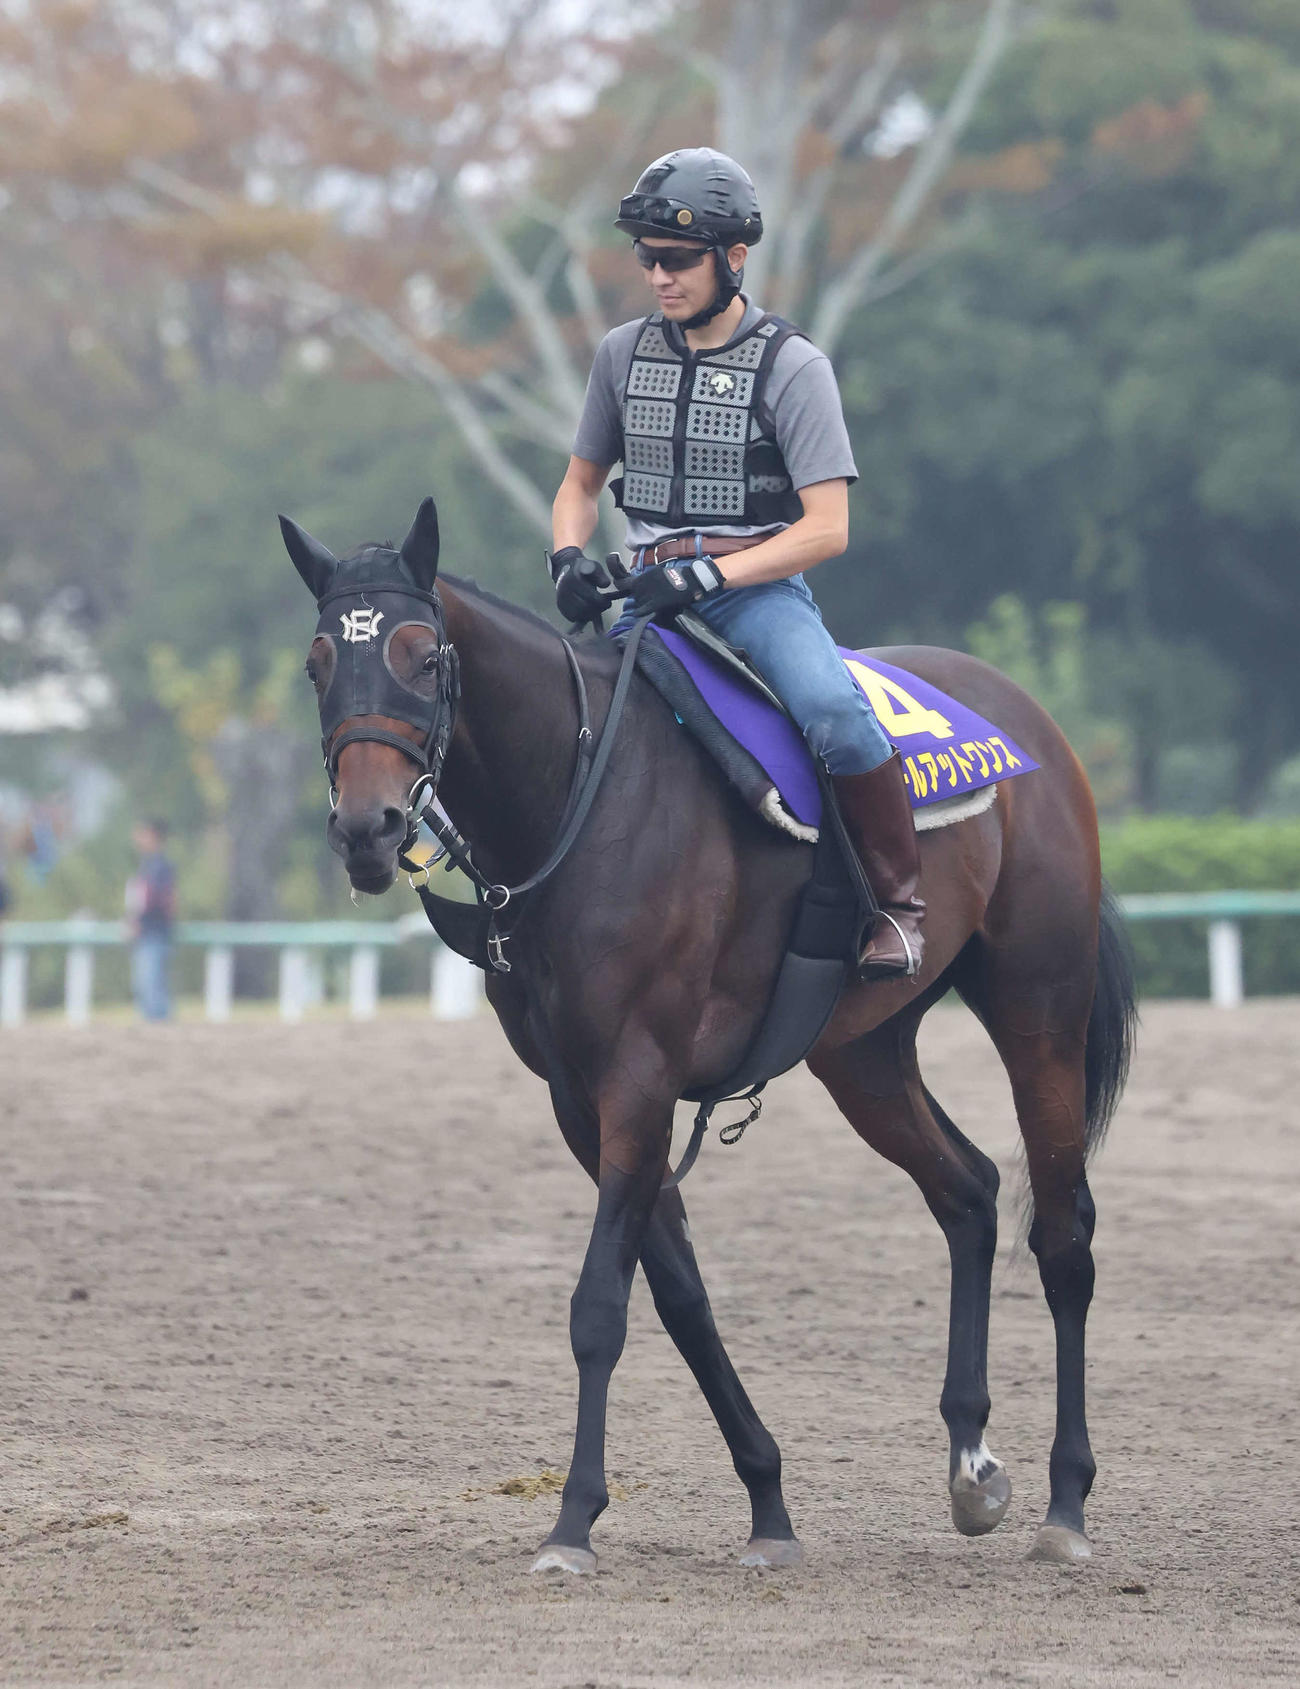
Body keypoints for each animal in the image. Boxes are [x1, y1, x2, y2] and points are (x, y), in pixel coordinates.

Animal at [281, 495, 1135, 1574]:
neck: (580, 793)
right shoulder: (580, 1098)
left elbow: (600, 1306)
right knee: (970, 1191)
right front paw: (767, 1503)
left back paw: (1067, 1502)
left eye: (423, 655)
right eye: (318, 661)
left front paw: (573, 1519)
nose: (369, 827)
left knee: (1062, 1231)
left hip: (1038, 1008)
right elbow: (680, 1298)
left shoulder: (639, 1078)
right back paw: (971, 1459)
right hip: (860, 1051)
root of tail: (1032, 730)